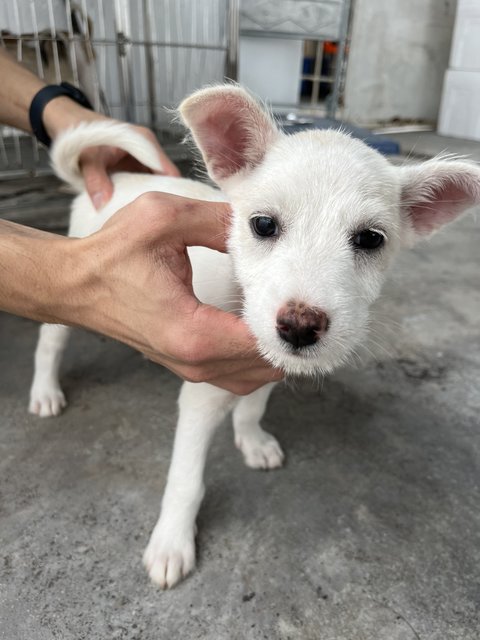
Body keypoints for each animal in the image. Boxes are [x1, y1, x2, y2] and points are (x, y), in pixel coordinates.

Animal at [29, 86, 480, 592]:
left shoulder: (265, 368)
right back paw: (45, 391)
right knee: (49, 342)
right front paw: (171, 543)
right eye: (263, 225)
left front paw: (252, 441)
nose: (300, 326)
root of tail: (111, 178)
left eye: (370, 239)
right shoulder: (200, 396)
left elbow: (252, 407)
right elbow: (186, 479)